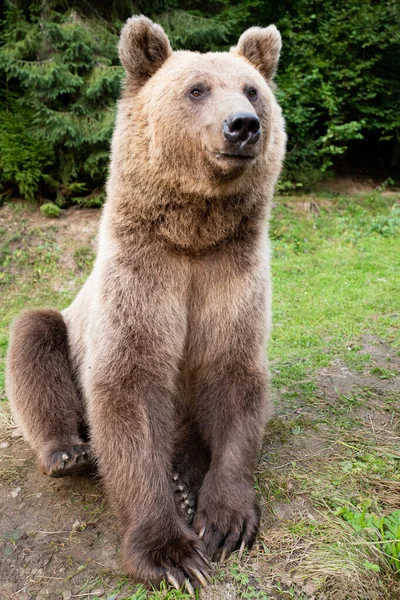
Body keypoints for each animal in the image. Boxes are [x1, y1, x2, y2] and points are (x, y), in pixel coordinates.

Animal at [7, 15, 288, 596]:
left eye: (252, 89)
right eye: (197, 89)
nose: (244, 125)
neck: (194, 235)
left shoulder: (231, 276)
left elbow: (235, 376)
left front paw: (226, 522)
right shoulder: (143, 277)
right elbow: (128, 386)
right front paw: (172, 554)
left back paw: (186, 474)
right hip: (65, 327)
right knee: (33, 336)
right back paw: (68, 452)